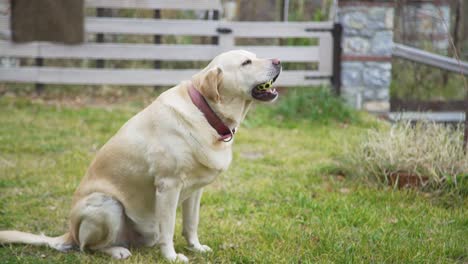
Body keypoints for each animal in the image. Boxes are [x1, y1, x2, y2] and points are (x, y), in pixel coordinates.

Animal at [0, 50, 280, 262]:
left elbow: (191, 224)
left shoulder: (195, 190)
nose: (279, 61)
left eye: (255, 56)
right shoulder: (168, 186)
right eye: (246, 63)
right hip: (107, 205)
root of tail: (68, 232)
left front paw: (196, 247)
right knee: (87, 247)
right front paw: (172, 256)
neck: (206, 112)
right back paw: (116, 250)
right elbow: (169, 227)